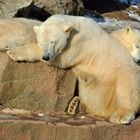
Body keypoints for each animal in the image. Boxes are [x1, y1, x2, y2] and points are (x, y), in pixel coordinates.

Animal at [7, 14, 140, 124]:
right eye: (41, 42)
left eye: (53, 42)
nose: (46, 56)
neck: (74, 26)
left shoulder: (79, 43)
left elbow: (61, 58)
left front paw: (13, 51)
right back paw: (75, 105)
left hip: (124, 73)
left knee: (127, 91)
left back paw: (120, 116)